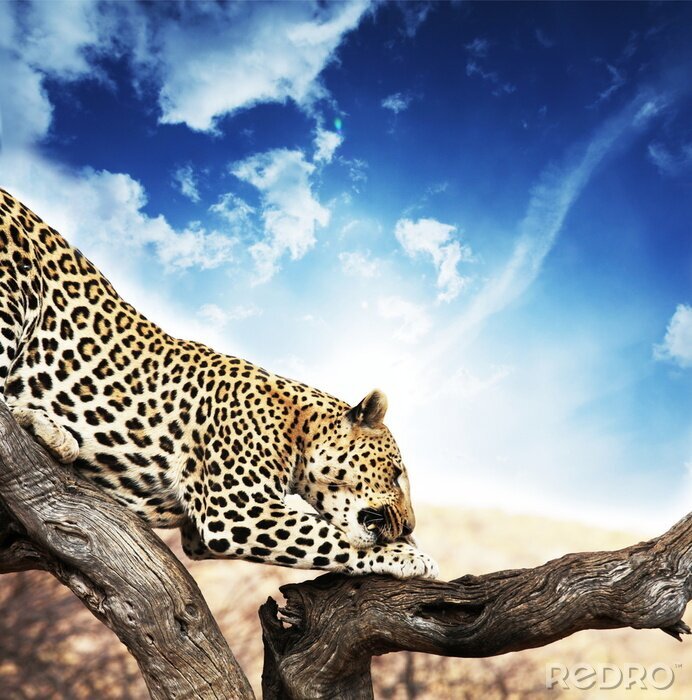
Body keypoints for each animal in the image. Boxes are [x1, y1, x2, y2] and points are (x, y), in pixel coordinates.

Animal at [0, 189, 438, 579]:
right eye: (396, 473)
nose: (411, 526)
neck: (298, 427)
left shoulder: (198, 532)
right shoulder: (237, 511)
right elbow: (332, 536)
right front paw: (412, 556)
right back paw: (50, 430)